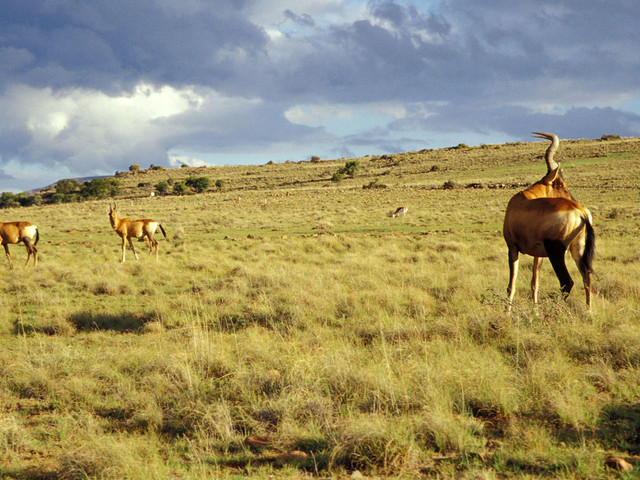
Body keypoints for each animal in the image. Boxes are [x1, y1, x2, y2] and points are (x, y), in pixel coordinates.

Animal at [504, 131, 596, 312]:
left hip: (556, 252)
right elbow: (535, 282)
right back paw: (589, 311)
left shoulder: (512, 247)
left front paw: (507, 312)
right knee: (587, 277)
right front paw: (535, 311)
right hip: (577, 250)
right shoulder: (538, 254)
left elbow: (512, 284)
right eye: (561, 185)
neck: (524, 198)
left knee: (567, 282)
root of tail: (582, 212)